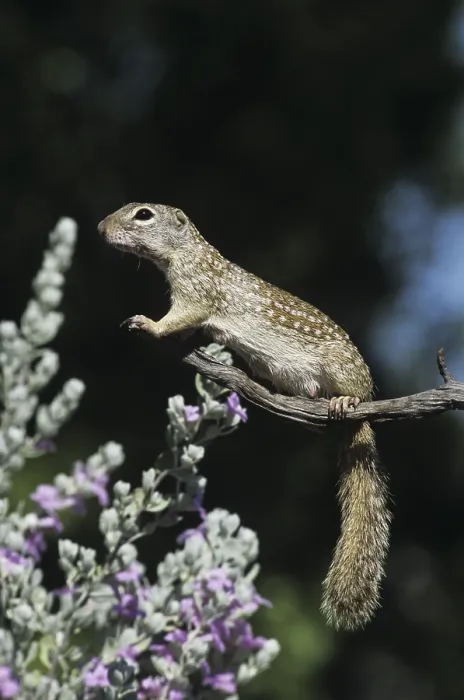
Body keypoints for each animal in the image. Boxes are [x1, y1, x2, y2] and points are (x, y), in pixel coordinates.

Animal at [98, 202, 391, 631]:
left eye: (143, 214)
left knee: (352, 393)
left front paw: (149, 324)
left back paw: (345, 400)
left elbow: (179, 317)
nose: (101, 228)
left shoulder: (196, 293)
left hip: (343, 370)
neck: (190, 253)